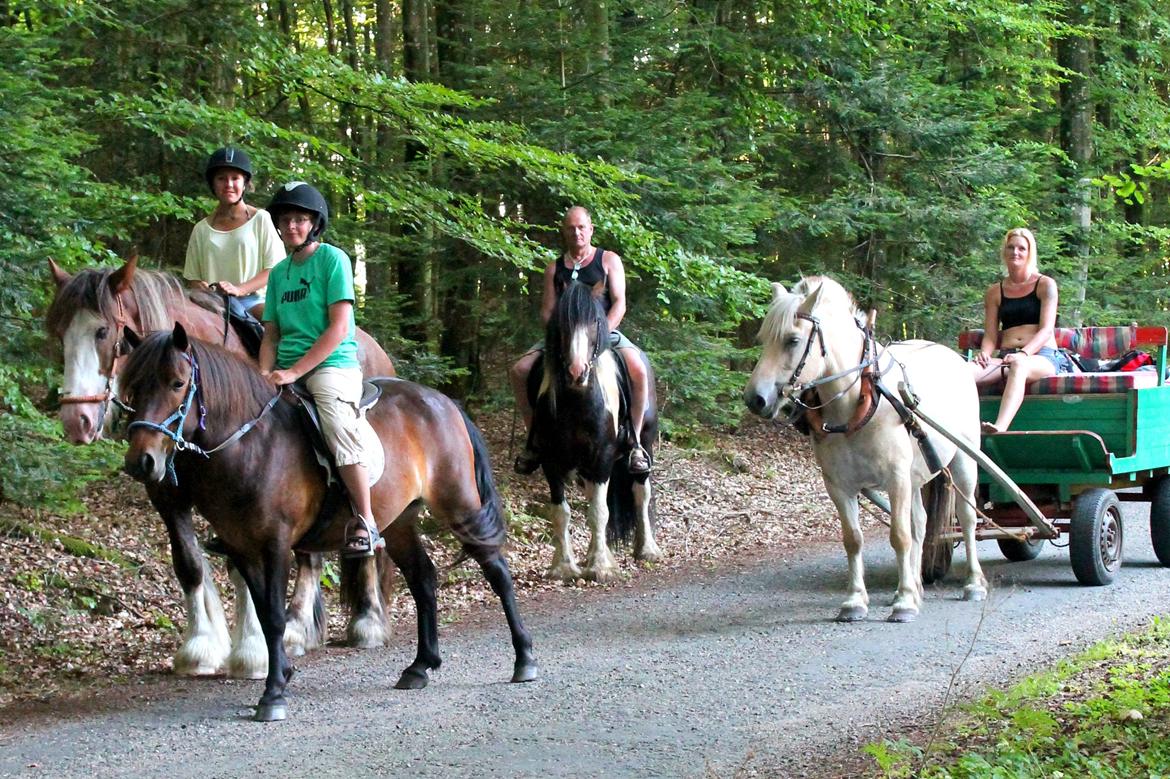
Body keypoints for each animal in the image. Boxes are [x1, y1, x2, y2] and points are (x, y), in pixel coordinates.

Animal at [46, 254, 397, 673]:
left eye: (101, 332)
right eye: (60, 333)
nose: (76, 421)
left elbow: (239, 566)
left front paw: (252, 650)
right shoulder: (168, 494)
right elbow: (190, 565)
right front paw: (200, 647)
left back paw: (366, 623)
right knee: (310, 556)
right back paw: (298, 629)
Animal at [121, 325, 535, 720]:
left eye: (177, 383)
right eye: (133, 386)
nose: (141, 462)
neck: (251, 445)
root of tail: (445, 402)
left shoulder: (275, 545)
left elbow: (275, 617)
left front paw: (273, 694)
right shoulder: (242, 549)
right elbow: (263, 613)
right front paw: (279, 672)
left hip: (459, 505)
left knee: (497, 571)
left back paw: (524, 658)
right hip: (398, 523)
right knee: (423, 579)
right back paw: (420, 666)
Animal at [528, 277, 659, 575]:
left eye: (595, 322)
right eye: (561, 323)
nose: (577, 373)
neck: (578, 402)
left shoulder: (603, 455)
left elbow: (599, 511)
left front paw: (601, 567)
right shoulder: (551, 460)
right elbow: (561, 512)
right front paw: (564, 567)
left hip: (644, 443)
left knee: (640, 492)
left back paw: (647, 549)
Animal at [744, 276, 982, 622]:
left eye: (792, 340)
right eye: (762, 338)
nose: (755, 399)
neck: (860, 402)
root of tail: (955, 357)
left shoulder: (896, 479)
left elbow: (899, 536)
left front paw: (904, 602)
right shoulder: (839, 484)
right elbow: (854, 539)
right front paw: (857, 600)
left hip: (964, 460)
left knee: (966, 518)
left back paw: (973, 583)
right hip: (915, 476)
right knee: (921, 523)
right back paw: (915, 585)